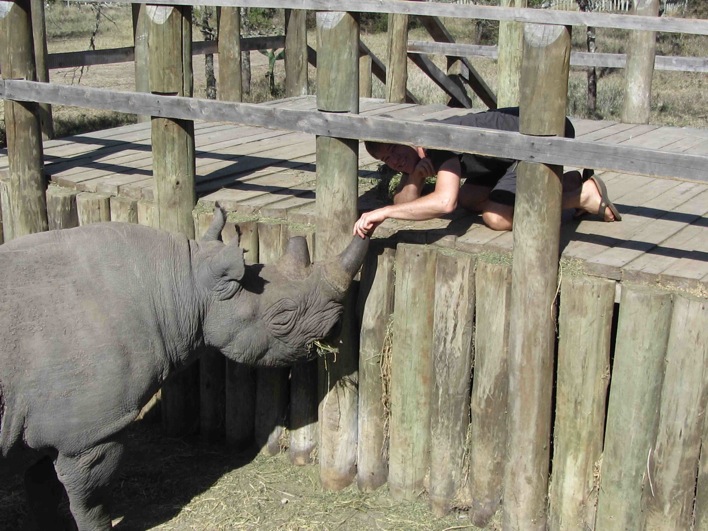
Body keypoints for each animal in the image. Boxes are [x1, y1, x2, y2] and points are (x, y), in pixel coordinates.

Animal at [0, 207, 369, 530]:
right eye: (283, 316)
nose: (337, 324)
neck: (183, 284)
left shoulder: (53, 425)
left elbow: (42, 487)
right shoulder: (90, 433)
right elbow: (89, 503)